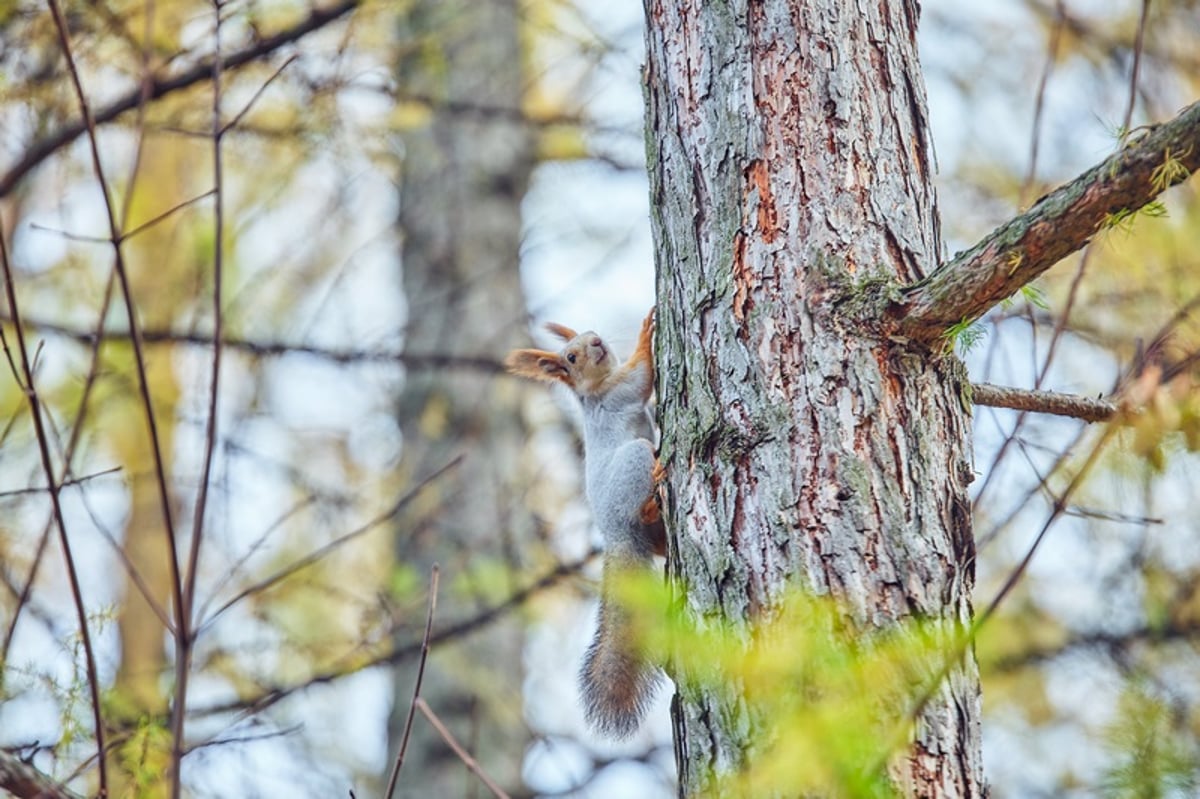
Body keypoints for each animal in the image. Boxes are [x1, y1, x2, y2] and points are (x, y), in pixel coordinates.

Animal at [504, 307, 667, 739]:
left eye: (590, 333)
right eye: (572, 357)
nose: (596, 342)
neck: (596, 389)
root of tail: (616, 534)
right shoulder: (621, 392)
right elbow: (643, 375)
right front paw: (645, 333)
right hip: (635, 458)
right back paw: (655, 489)